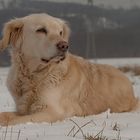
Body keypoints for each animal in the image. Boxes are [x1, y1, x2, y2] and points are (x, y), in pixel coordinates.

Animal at [0, 12, 138, 124]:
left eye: (60, 32)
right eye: (41, 30)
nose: (64, 46)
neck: (33, 75)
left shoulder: (51, 112)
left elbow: (11, 121)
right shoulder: (22, 108)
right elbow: (5, 115)